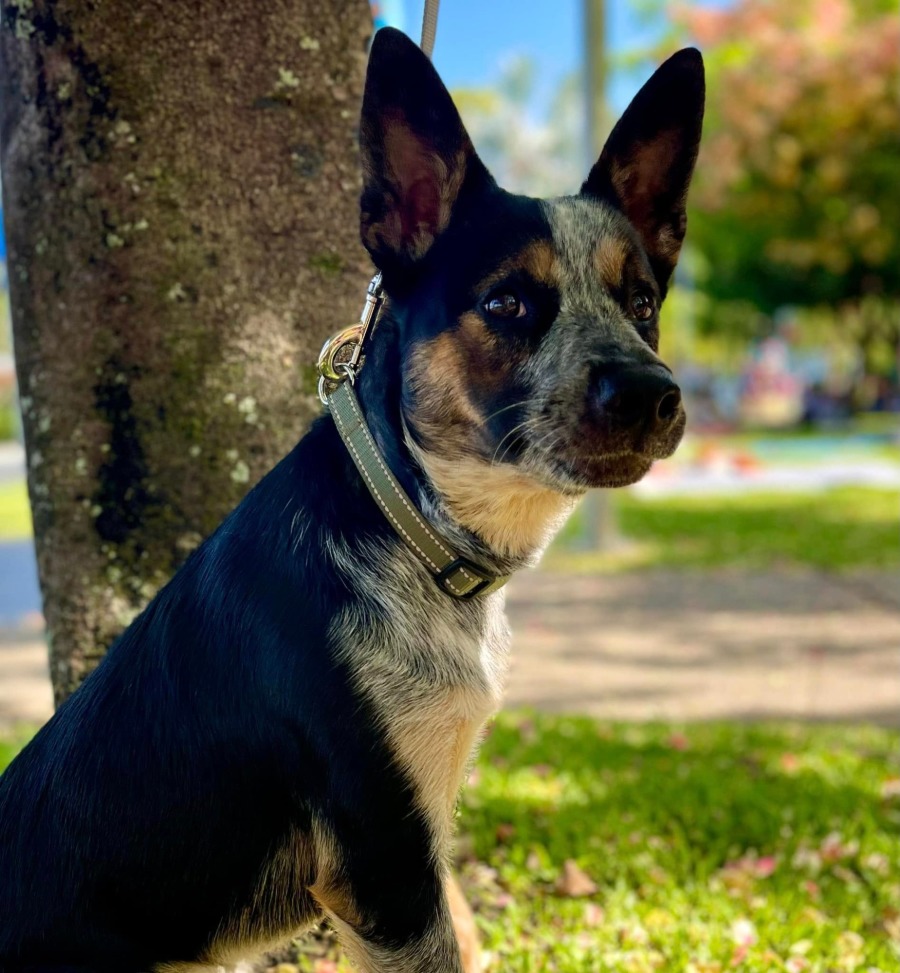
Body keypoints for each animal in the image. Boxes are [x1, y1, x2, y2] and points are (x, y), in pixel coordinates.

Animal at [0, 26, 703, 973]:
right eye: (507, 302)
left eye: (642, 303)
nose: (652, 393)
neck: (408, 524)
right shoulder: (387, 864)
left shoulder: (418, 847)